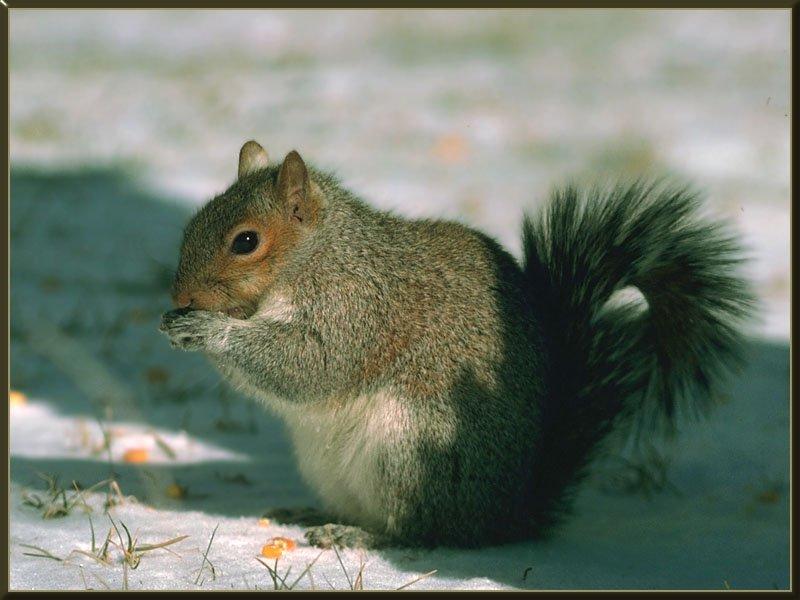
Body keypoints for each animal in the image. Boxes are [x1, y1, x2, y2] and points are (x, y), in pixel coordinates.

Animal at [159, 139, 752, 548]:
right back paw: (314, 516)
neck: (319, 257)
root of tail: (504, 514)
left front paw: (204, 330)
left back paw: (359, 536)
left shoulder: (359, 309)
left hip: (413, 451)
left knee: (423, 531)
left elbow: (307, 366)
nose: (180, 295)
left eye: (246, 241)